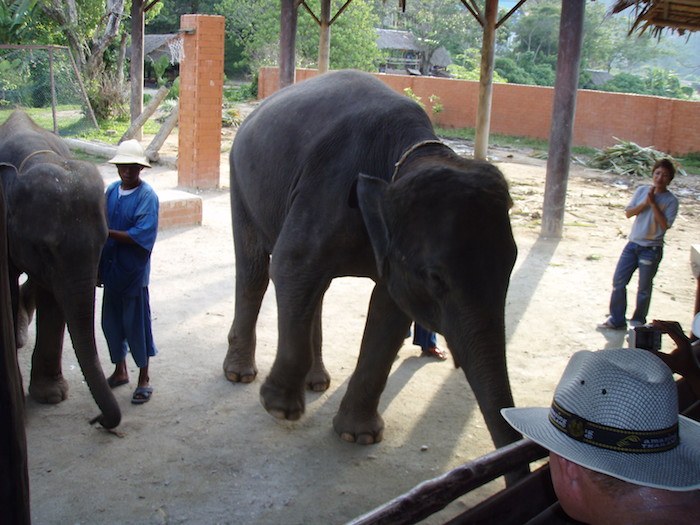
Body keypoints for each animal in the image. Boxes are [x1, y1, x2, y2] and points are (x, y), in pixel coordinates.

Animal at [223, 70, 520, 453]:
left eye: (512, 264)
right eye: (435, 278)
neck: (413, 154)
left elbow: (389, 310)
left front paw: (359, 436)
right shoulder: (328, 186)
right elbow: (290, 265)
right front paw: (280, 409)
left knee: (313, 290)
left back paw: (317, 382)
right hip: (240, 178)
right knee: (256, 271)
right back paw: (239, 374)